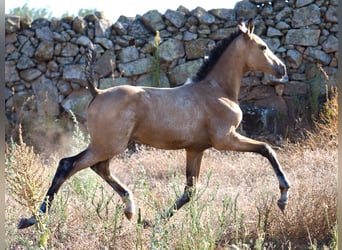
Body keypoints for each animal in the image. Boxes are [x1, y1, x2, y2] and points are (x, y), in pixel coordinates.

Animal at [17, 19, 290, 229]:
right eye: (263, 46)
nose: (282, 68)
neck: (216, 91)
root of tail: (97, 92)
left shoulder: (195, 149)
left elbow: (189, 191)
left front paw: (151, 222)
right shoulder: (226, 139)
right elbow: (266, 149)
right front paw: (284, 196)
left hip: (108, 146)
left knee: (99, 168)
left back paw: (130, 209)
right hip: (108, 145)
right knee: (68, 164)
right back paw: (33, 219)